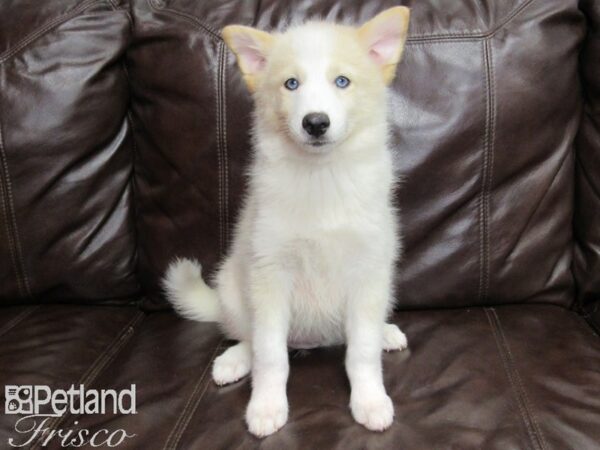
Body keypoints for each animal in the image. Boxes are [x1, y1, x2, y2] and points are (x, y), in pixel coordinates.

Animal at [162, 6, 410, 436]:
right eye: (291, 84)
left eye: (342, 81)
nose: (315, 122)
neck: (322, 177)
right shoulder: (270, 273)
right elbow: (270, 354)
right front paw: (266, 407)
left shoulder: (367, 269)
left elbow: (361, 352)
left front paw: (370, 400)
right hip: (235, 288)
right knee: (246, 335)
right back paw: (234, 359)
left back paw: (385, 332)